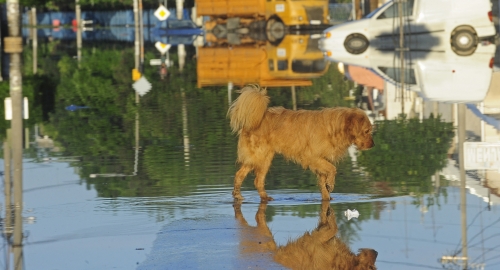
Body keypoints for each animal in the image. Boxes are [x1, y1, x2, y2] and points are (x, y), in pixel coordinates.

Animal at [229, 85, 374, 201]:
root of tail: (253, 120)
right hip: (261, 157)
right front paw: (330, 184)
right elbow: (333, 169)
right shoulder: (313, 157)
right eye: (366, 131)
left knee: (242, 176)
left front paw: (327, 196)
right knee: (256, 180)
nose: (373, 144)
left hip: (260, 159)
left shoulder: (321, 160)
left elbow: (323, 183)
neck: (334, 129)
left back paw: (241, 196)